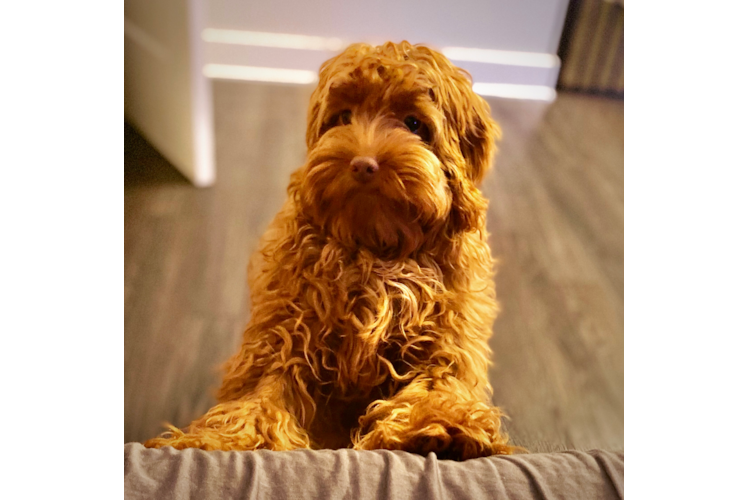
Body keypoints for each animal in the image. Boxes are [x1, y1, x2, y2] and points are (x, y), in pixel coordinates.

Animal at [145, 42, 516, 460]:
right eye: (343, 117)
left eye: (414, 123)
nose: (363, 165)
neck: (374, 249)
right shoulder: (284, 332)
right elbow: (263, 392)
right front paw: (224, 441)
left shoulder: (449, 336)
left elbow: (441, 376)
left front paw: (439, 425)